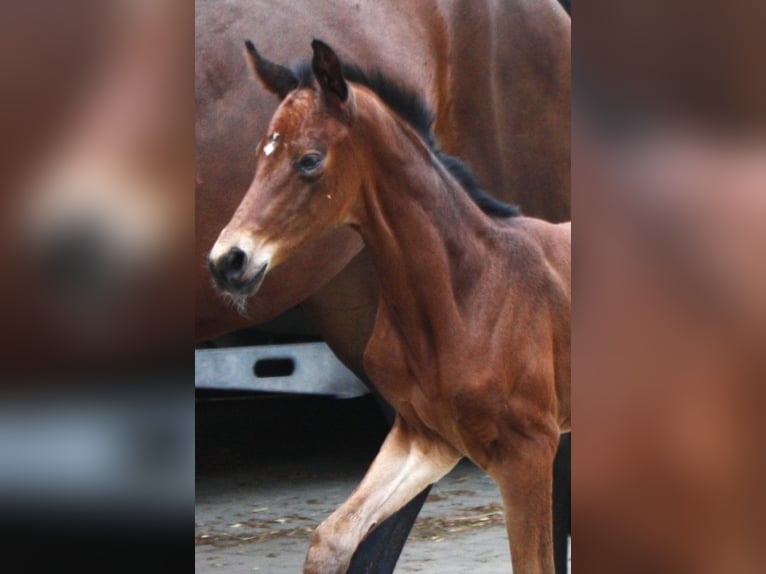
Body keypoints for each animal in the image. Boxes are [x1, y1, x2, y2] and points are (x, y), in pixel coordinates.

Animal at [196, 2, 568, 572]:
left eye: (310, 160)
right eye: (260, 154)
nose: (228, 261)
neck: (467, 290)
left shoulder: (528, 450)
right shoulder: (424, 437)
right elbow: (332, 538)